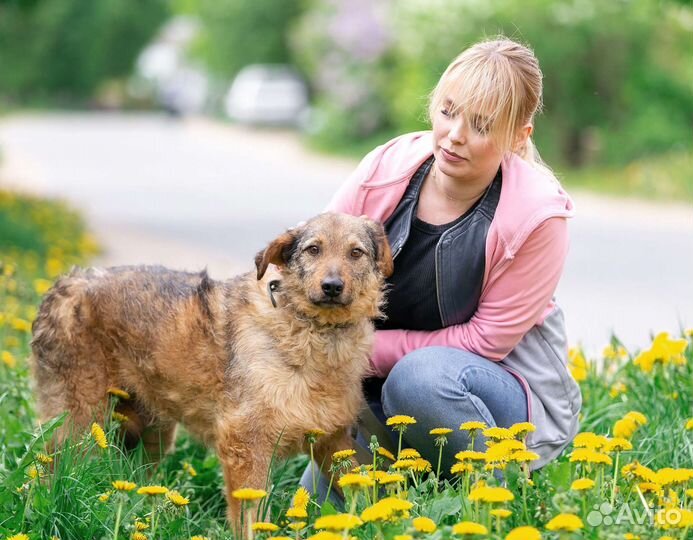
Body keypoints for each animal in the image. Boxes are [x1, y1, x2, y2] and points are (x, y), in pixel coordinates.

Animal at [29, 214, 392, 524]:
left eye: (356, 253)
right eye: (313, 249)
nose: (332, 286)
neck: (314, 333)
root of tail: (68, 282)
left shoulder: (335, 441)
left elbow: (364, 493)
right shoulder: (244, 446)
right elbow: (250, 519)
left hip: (150, 433)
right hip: (78, 424)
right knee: (48, 474)